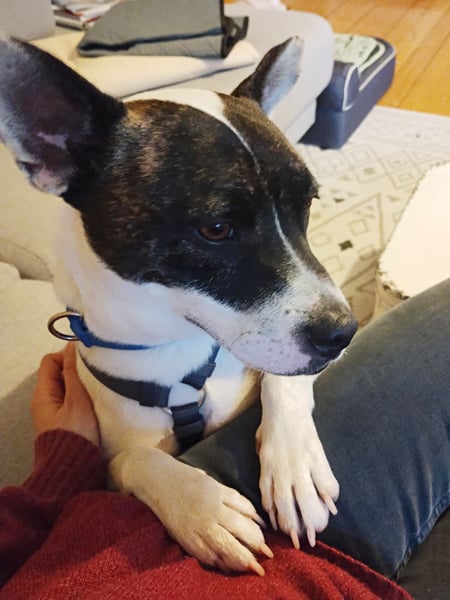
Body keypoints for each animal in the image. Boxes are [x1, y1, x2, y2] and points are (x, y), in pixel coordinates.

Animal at [0, 35, 357, 576]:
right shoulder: (112, 465)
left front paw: (295, 466)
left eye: (308, 205)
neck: (179, 347)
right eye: (216, 229)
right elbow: (135, 460)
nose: (343, 333)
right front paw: (202, 507)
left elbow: (283, 381)